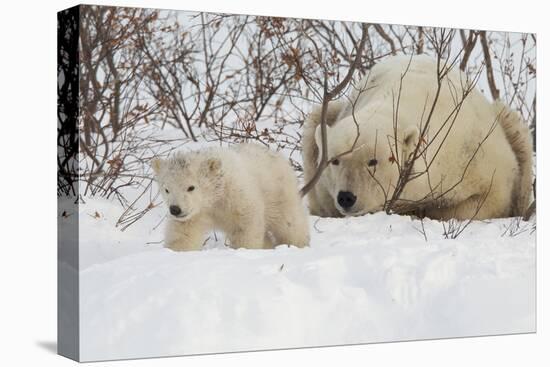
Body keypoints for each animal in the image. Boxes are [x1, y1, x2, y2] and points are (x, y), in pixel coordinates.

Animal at [153, 145, 312, 252]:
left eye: (191, 187)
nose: (175, 209)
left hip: (278, 193)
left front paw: (244, 250)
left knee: (289, 223)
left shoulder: (237, 199)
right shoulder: (195, 214)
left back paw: (297, 244)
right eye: (166, 189)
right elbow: (183, 234)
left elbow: (246, 228)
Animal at [302, 56, 536, 220]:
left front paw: (424, 210)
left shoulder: (474, 154)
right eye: (334, 160)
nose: (346, 197)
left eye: (373, 161)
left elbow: (491, 198)